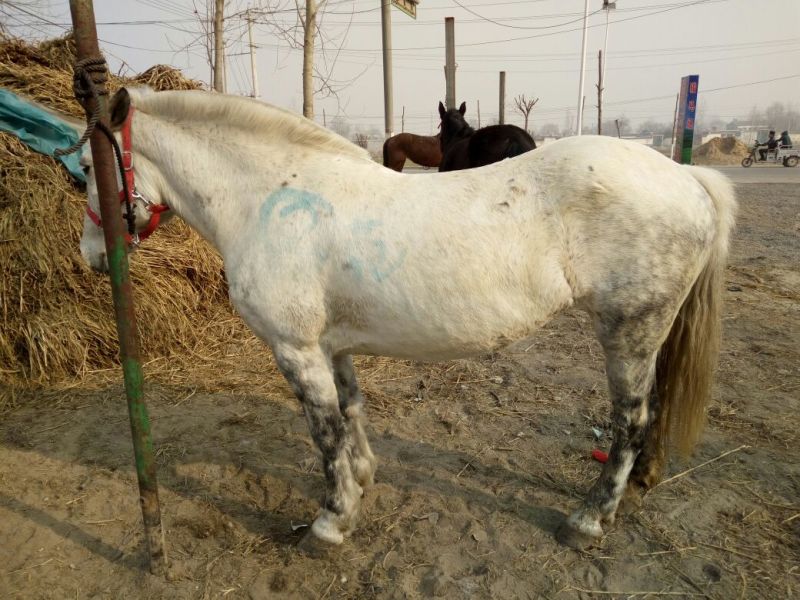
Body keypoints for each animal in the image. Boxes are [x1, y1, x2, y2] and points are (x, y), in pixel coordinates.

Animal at [79, 86, 736, 551]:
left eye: (90, 169)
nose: (91, 256)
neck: (275, 197)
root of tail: (686, 176)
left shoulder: (295, 349)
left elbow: (324, 433)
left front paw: (331, 521)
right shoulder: (332, 347)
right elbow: (350, 412)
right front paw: (363, 478)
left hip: (628, 331)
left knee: (630, 423)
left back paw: (588, 519)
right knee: (652, 414)